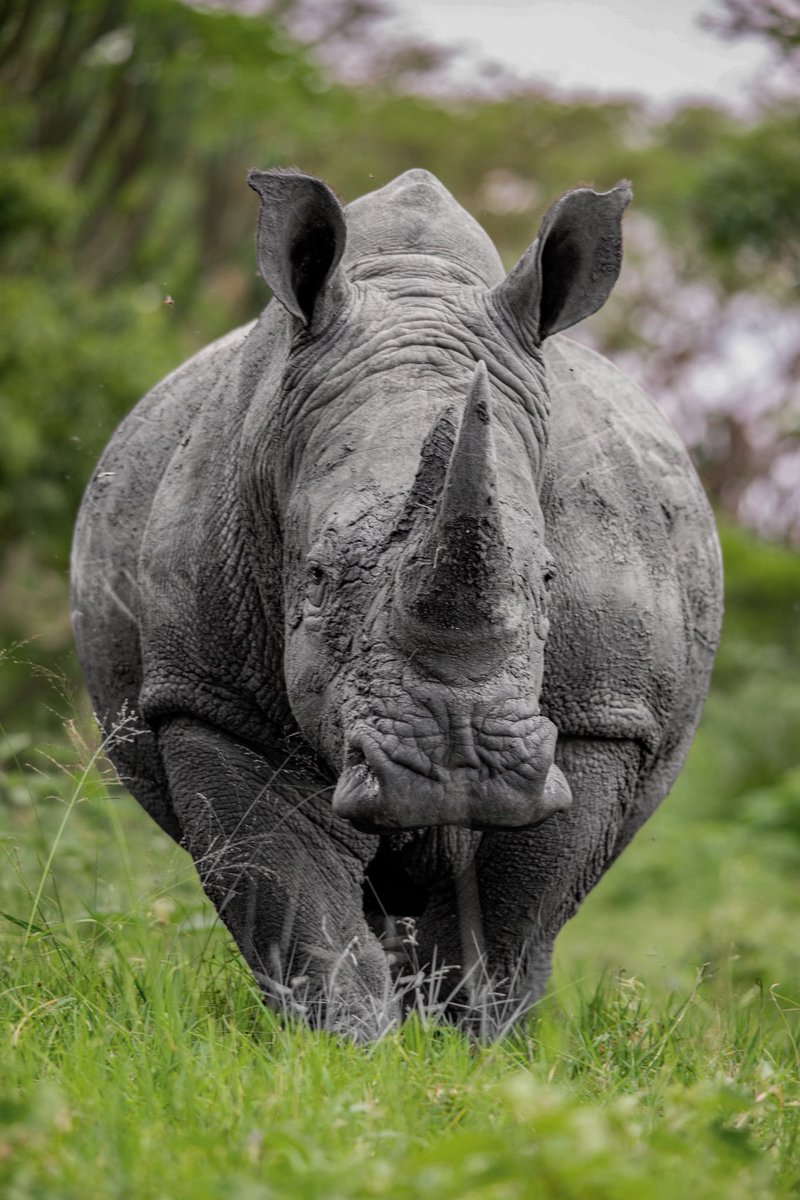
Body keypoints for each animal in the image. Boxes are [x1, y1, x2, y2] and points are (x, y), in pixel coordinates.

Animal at [71, 167, 723, 1039]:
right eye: (314, 576)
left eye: (551, 580)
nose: (457, 768)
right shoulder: (208, 701)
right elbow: (290, 898)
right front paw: (347, 1052)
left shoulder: (604, 715)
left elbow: (513, 917)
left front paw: (471, 1049)